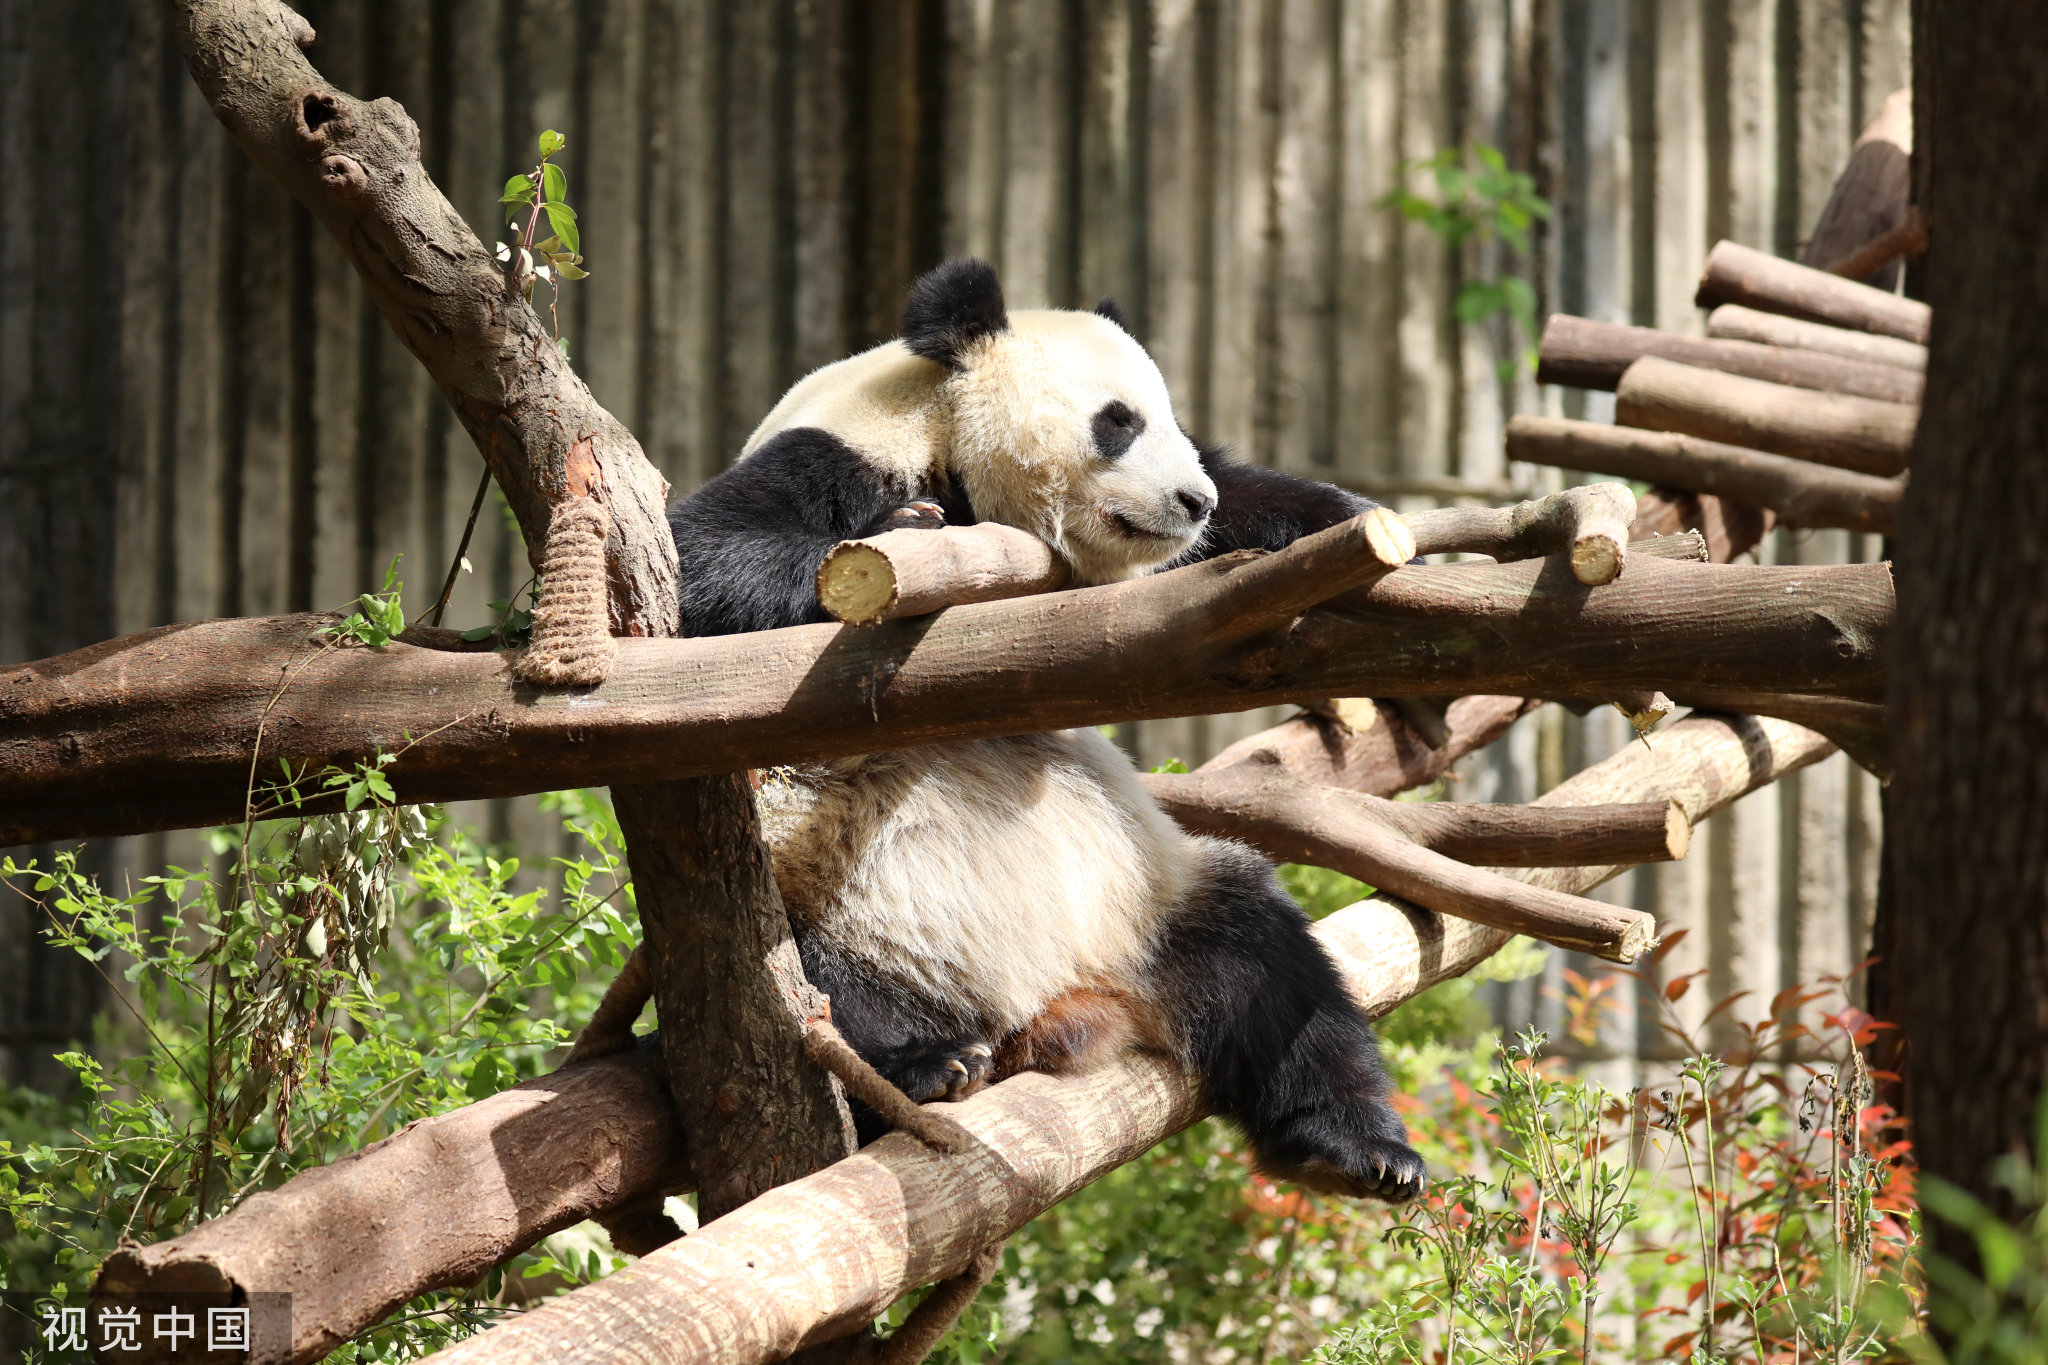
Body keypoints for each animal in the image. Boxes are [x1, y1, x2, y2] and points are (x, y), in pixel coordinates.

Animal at [671, 261, 1425, 1203]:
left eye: (1172, 423)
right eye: (1118, 421)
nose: (1193, 500)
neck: (946, 431)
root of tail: (1059, 1004)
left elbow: (1266, 517)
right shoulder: (840, 456)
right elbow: (704, 566)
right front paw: (907, 530)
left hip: (1151, 896)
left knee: (1276, 971)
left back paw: (1358, 1148)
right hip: (830, 887)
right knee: (820, 983)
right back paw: (931, 1061)